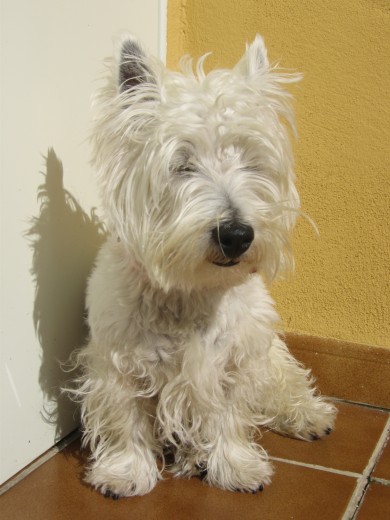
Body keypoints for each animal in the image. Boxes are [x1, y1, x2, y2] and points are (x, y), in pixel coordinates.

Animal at [71, 34, 336, 498]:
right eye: (182, 164)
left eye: (250, 162)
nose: (237, 235)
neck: (191, 291)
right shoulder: (116, 363)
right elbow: (125, 419)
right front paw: (124, 472)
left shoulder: (234, 360)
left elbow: (229, 415)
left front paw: (236, 467)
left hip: (270, 352)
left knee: (286, 380)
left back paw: (308, 416)